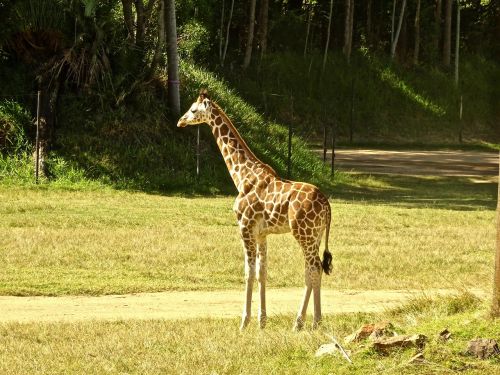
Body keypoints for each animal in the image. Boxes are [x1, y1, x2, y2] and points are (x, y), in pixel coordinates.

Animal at [178, 89, 334, 330]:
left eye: (193, 110)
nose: (180, 121)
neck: (241, 176)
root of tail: (327, 205)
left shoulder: (245, 227)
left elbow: (248, 273)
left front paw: (244, 322)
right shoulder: (261, 233)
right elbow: (262, 272)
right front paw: (262, 322)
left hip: (304, 234)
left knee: (313, 269)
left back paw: (302, 323)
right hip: (315, 236)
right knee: (313, 270)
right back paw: (312, 322)